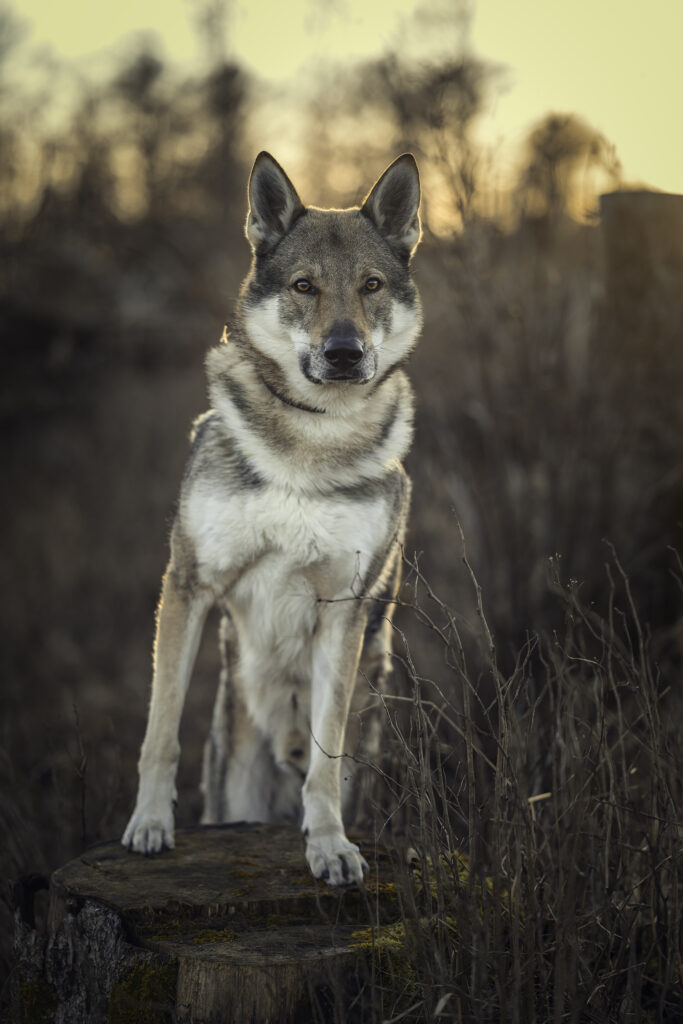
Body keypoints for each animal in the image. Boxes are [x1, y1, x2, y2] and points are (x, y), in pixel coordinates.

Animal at [122, 148, 421, 884]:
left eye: (371, 285)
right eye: (304, 286)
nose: (344, 353)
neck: (309, 437)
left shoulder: (344, 608)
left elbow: (324, 759)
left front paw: (329, 846)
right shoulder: (188, 585)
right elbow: (161, 729)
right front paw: (149, 825)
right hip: (236, 783)